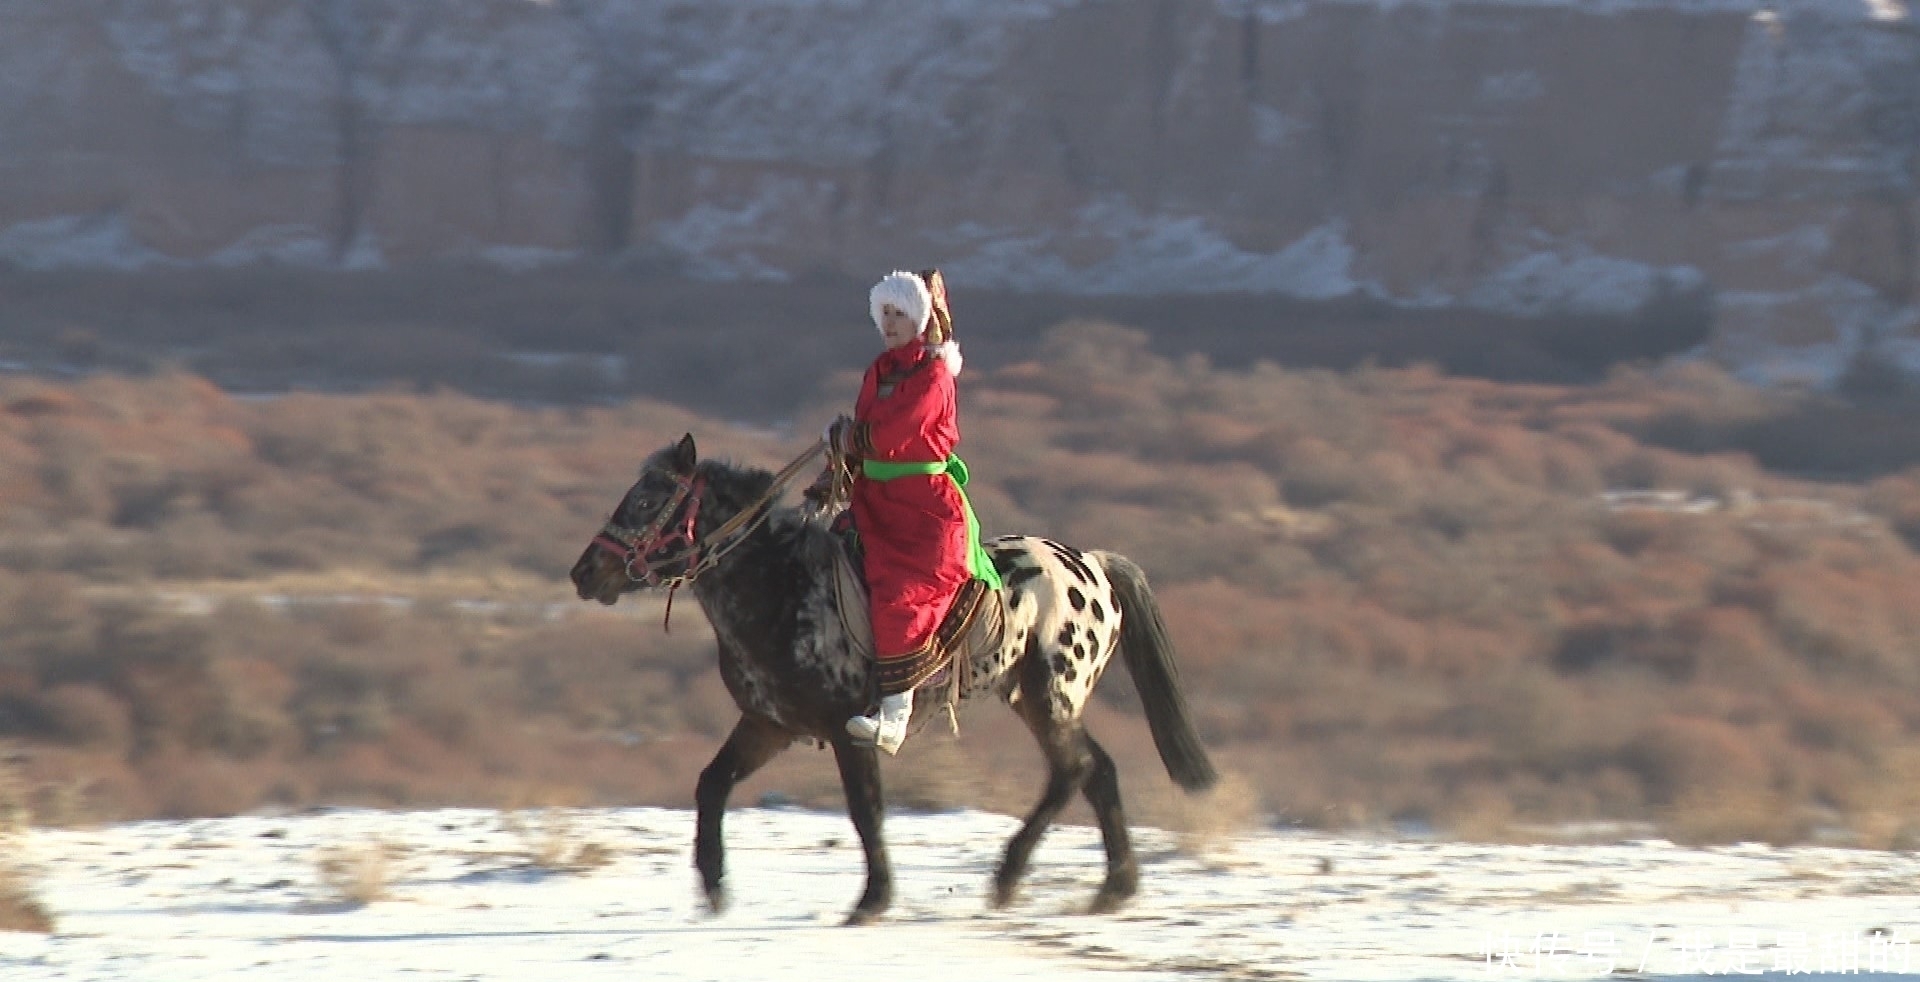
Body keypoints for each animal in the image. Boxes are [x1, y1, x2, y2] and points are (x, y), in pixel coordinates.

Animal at [568, 434, 1213, 926]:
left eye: (648, 501)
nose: (584, 573)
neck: (779, 587)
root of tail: (1093, 565)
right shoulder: (769, 725)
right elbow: (711, 785)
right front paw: (713, 888)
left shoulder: (847, 727)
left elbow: (865, 809)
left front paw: (871, 901)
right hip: (1035, 698)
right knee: (1095, 770)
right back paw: (1112, 888)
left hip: (1051, 695)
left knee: (1075, 770)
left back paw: (1013, 878)